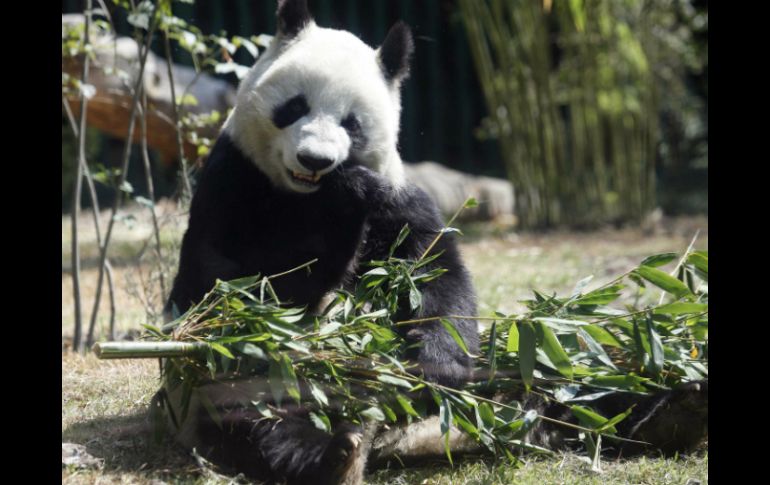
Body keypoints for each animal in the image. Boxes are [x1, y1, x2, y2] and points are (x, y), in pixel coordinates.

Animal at [164, 1, 708, 482]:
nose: (315, 159)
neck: (306, 194)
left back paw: (669, 411)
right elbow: (250, 283)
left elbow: (433, 274)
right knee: (258, 402)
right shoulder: (234, 183)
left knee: (576, 378)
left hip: (532, 362)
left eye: (351, 123)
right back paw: (334, 455)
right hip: (239, 376)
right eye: (294, 107)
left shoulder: (398, 198)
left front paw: (436, 364)